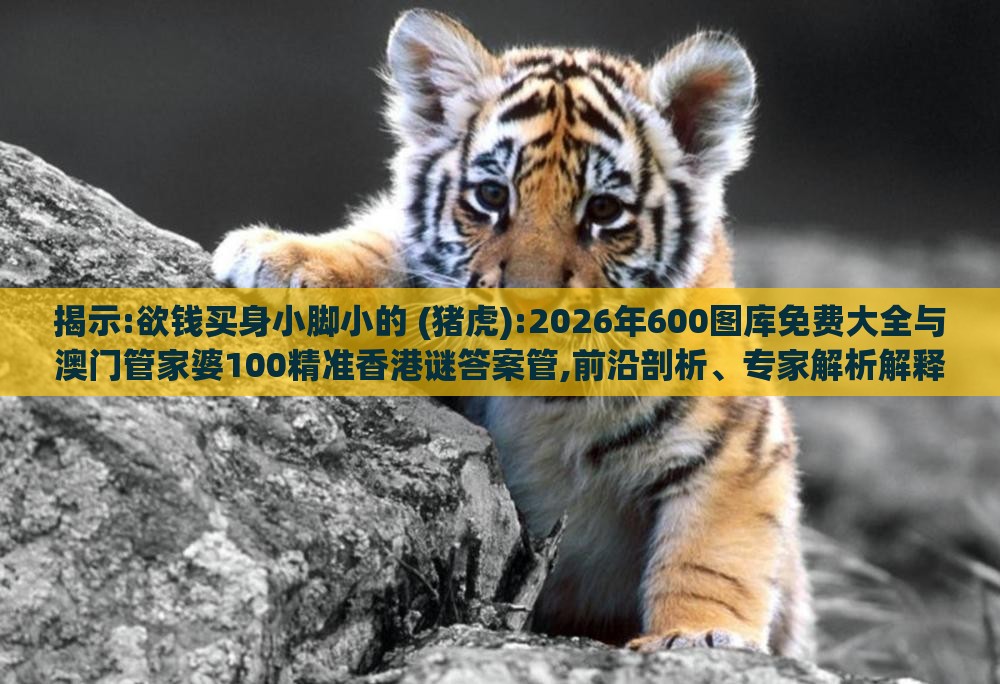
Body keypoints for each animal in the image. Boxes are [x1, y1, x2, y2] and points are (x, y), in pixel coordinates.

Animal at [212, 9, 815, 658]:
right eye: (492, 195)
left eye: (604, 211)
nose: (529, 302)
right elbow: (387, 245)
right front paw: (280, 255)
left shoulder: (738, 446)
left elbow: (711, 557)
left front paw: (698, 636)